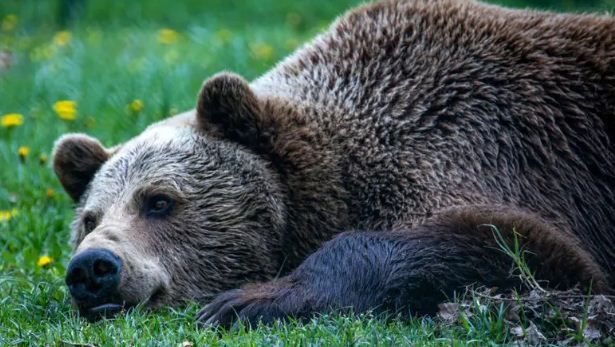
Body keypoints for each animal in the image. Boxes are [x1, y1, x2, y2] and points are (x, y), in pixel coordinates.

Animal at [53, 0, 615, 328]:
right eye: (90, 219)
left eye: (159, 201)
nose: (93, 267)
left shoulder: (486, 144)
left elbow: (527, 245)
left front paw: (247, 300)